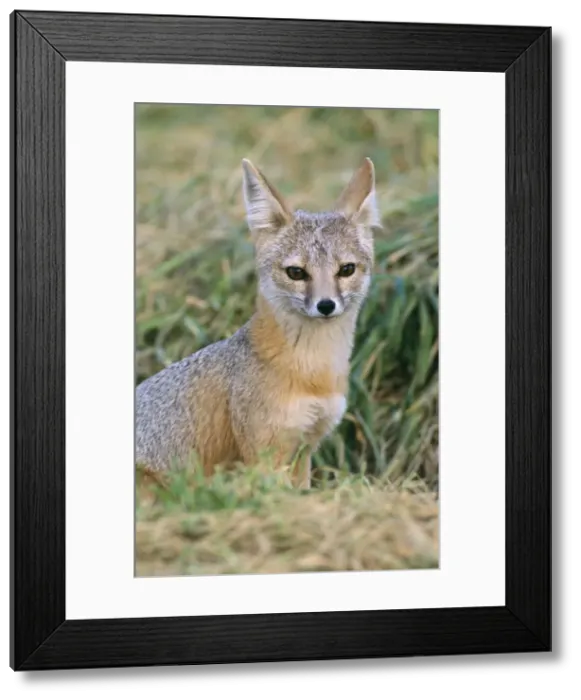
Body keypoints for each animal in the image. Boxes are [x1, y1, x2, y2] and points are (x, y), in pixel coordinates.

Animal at [135, 156, 381, 489]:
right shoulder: (265, 454)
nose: (326, 305)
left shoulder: (304, 449)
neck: (313, 373)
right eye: (296, 273)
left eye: (346, 269)